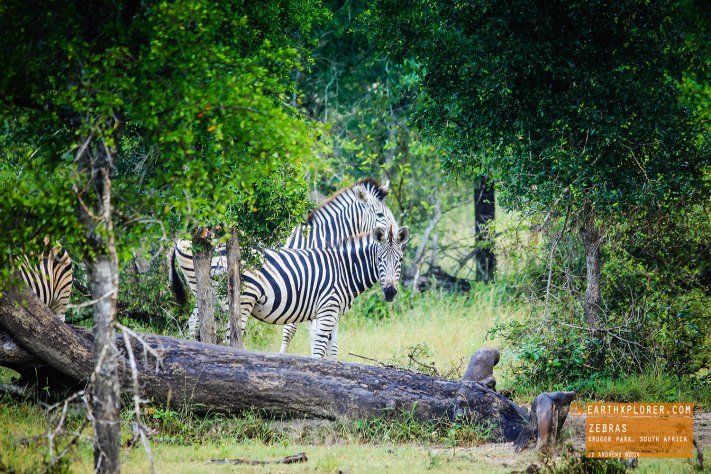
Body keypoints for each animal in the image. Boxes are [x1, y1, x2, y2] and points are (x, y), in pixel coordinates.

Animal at [170, 176, 398, 350]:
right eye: (380, 214)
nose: (396, 233)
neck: (318, 239)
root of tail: (183, 237)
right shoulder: (305, 288)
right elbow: (293, 330)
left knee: (196, 321)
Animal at [239, 224, 408, 358]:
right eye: (379, 259)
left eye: (400, 260)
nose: (390, 292)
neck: (344, 270)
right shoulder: (327, 311)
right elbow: (318, 351)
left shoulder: (334, 314)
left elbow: (333, 350)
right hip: (245, 298)